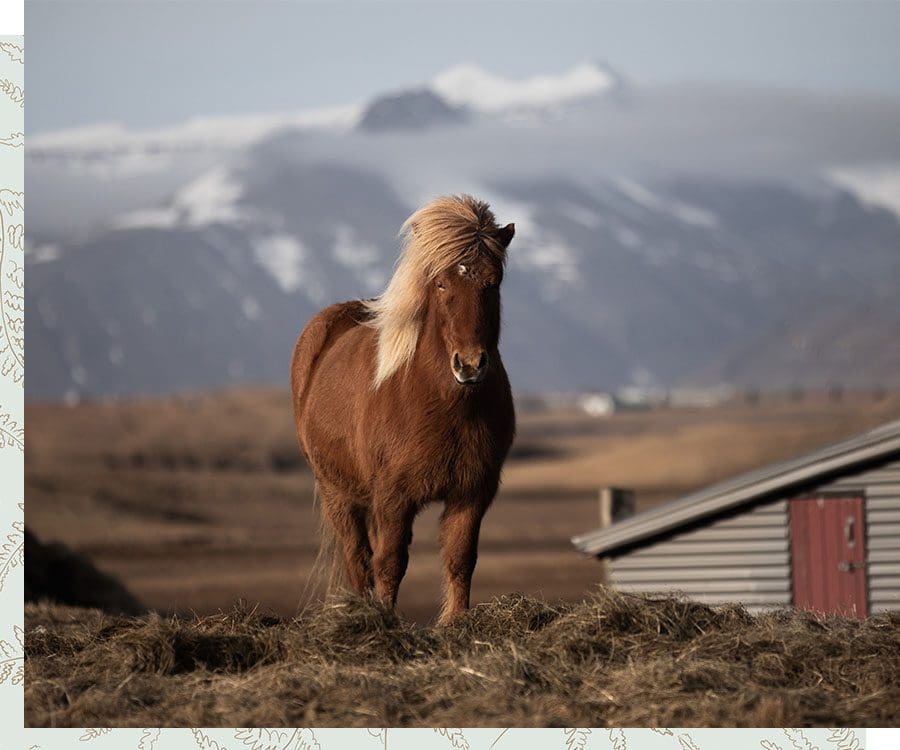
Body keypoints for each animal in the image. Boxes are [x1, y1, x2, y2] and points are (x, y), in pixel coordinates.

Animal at [292, 194, 516, 624]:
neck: (443, 405)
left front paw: (455, 621)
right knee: (358, 557)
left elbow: (461, 558)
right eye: (441, 282)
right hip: (337, 493)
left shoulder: (472, 492)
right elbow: (390, 562)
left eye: (493, 282)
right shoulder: (394, 498)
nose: (470, 366)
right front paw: (385, 620)